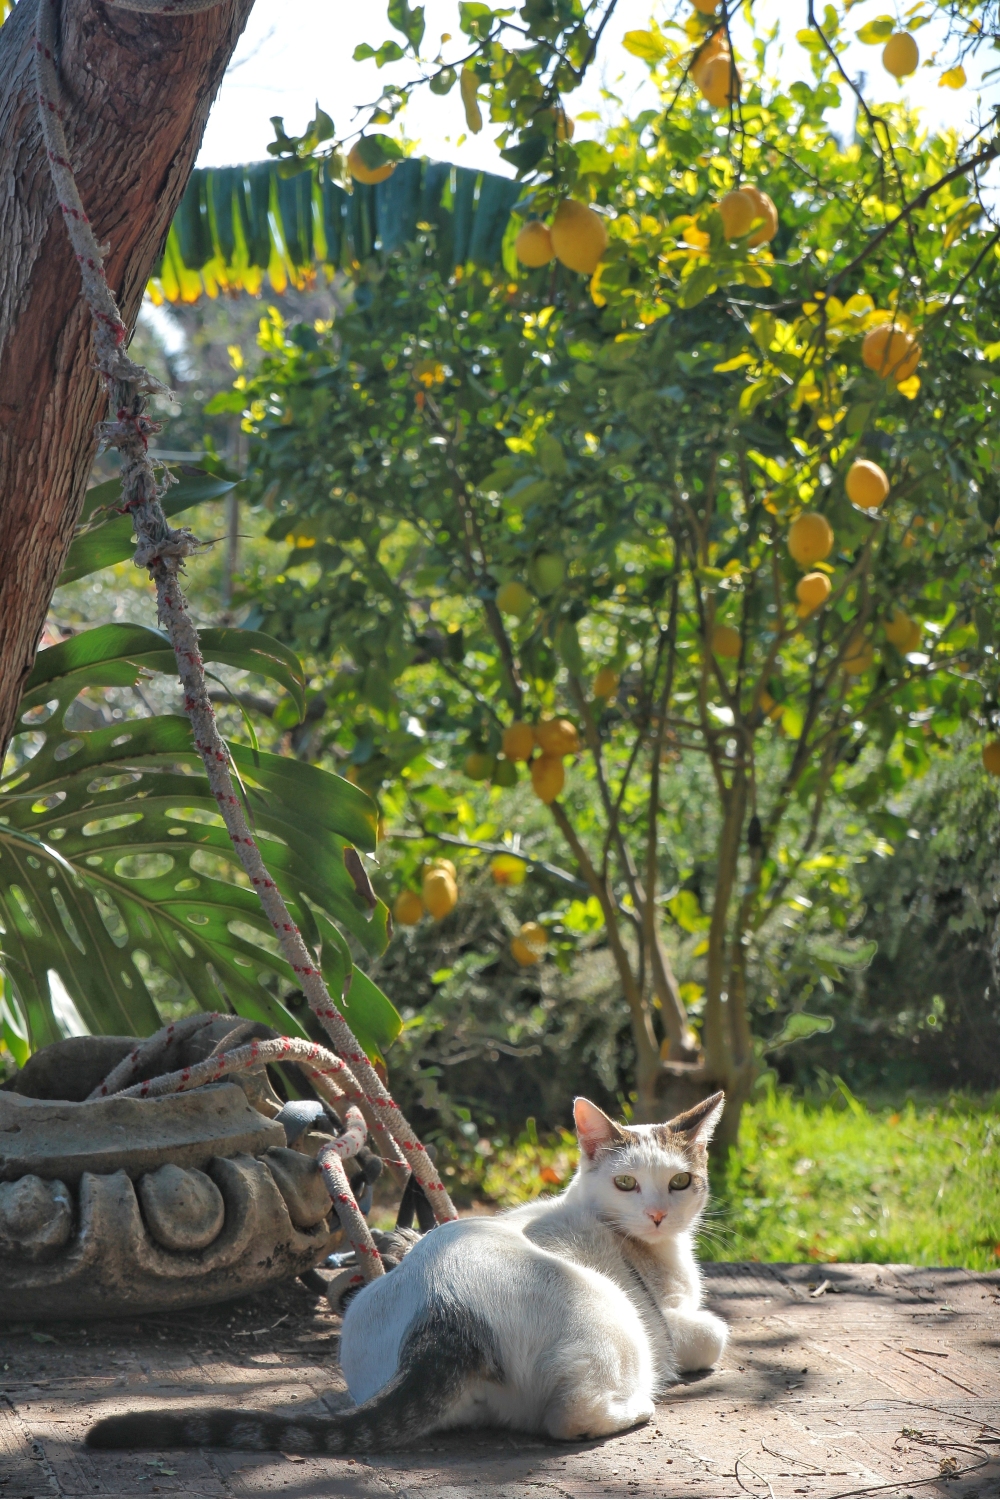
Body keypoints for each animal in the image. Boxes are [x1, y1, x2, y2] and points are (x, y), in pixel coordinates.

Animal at [88, 1092, 728, 1452]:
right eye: (626, 1183)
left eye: (679, 1182)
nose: (656, 1213)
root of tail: (441, 1313)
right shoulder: (674, 1321)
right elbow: (713, 1331)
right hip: (611, 1314)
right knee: (569, 1417)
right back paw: (638, 1405)